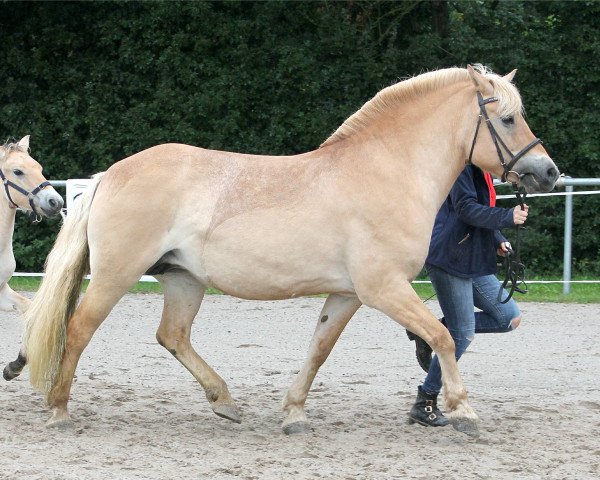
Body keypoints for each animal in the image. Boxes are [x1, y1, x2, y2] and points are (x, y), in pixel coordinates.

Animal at [0, 137, 63, 380]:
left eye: (39, 168)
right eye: (18, 171)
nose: (55, 202)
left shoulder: (2, 291)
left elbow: (30, 312)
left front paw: (14, 366)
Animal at [16, 65, 556, 434]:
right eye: (509, 119)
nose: (548, 173)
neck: (386, 170)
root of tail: (111, 175)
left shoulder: (349, 294)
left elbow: (319, 349)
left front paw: (293, 412)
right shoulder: (384, 289)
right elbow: (443, 337)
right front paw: (463, 409)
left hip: (183, 280)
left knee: (172, 336)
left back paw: (225, 401)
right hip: (116, 274)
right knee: (78, 329)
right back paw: (59, 409)